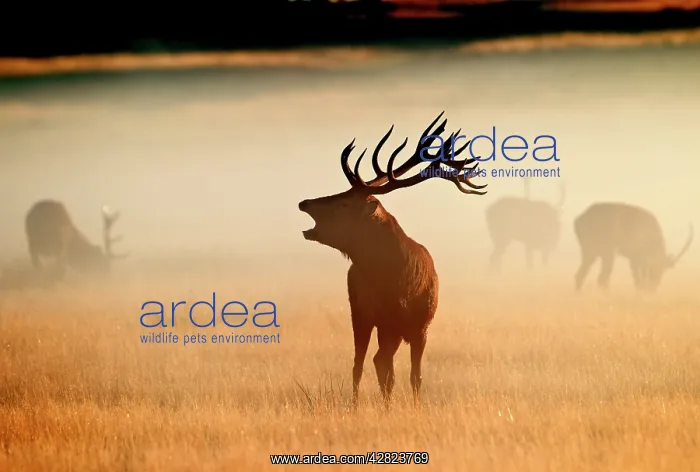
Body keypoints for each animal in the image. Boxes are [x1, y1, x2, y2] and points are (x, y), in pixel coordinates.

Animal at [298, 112, 487, 408]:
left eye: (344, 203)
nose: (304, 203)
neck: (401, 284)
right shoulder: (387, 322)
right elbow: (389, 371)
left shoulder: (421, 327)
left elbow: (414, 376)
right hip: (361, 313)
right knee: (363, 363)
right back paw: (356, 405)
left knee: (374, 362)